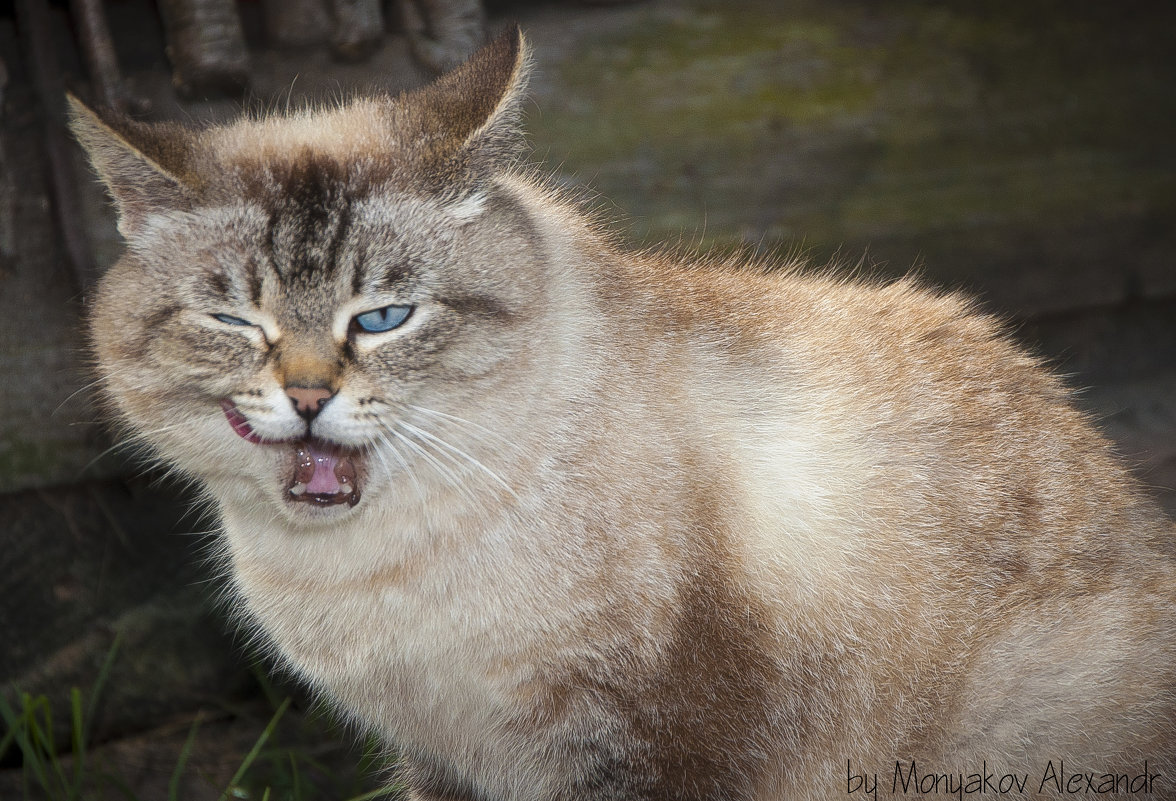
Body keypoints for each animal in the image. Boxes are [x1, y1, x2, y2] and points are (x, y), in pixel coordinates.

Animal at [71, 24, 1176, 799]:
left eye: (384, 317)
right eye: (233, 320)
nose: (307, 397)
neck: (367, 577)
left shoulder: (638, 743)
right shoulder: (440, 757)